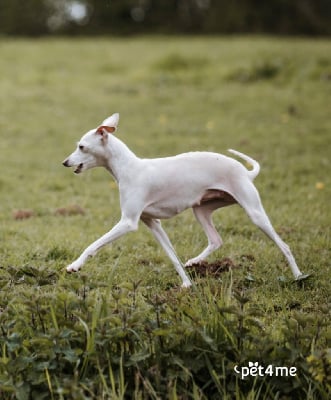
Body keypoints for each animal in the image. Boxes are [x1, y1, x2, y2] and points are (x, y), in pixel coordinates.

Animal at [63, 113, 308, 288]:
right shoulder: (153, 223)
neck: (129, 168)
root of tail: (247, 173)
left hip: (254, 213)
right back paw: (195, 261)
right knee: (216, 240)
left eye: (81, 146)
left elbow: (94, 245)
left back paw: (298, 276)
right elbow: (173, 257)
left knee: (284, 245)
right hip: (201, 210)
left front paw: (75, 265)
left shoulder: (128, 223)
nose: (64, 162)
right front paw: (187, 284)